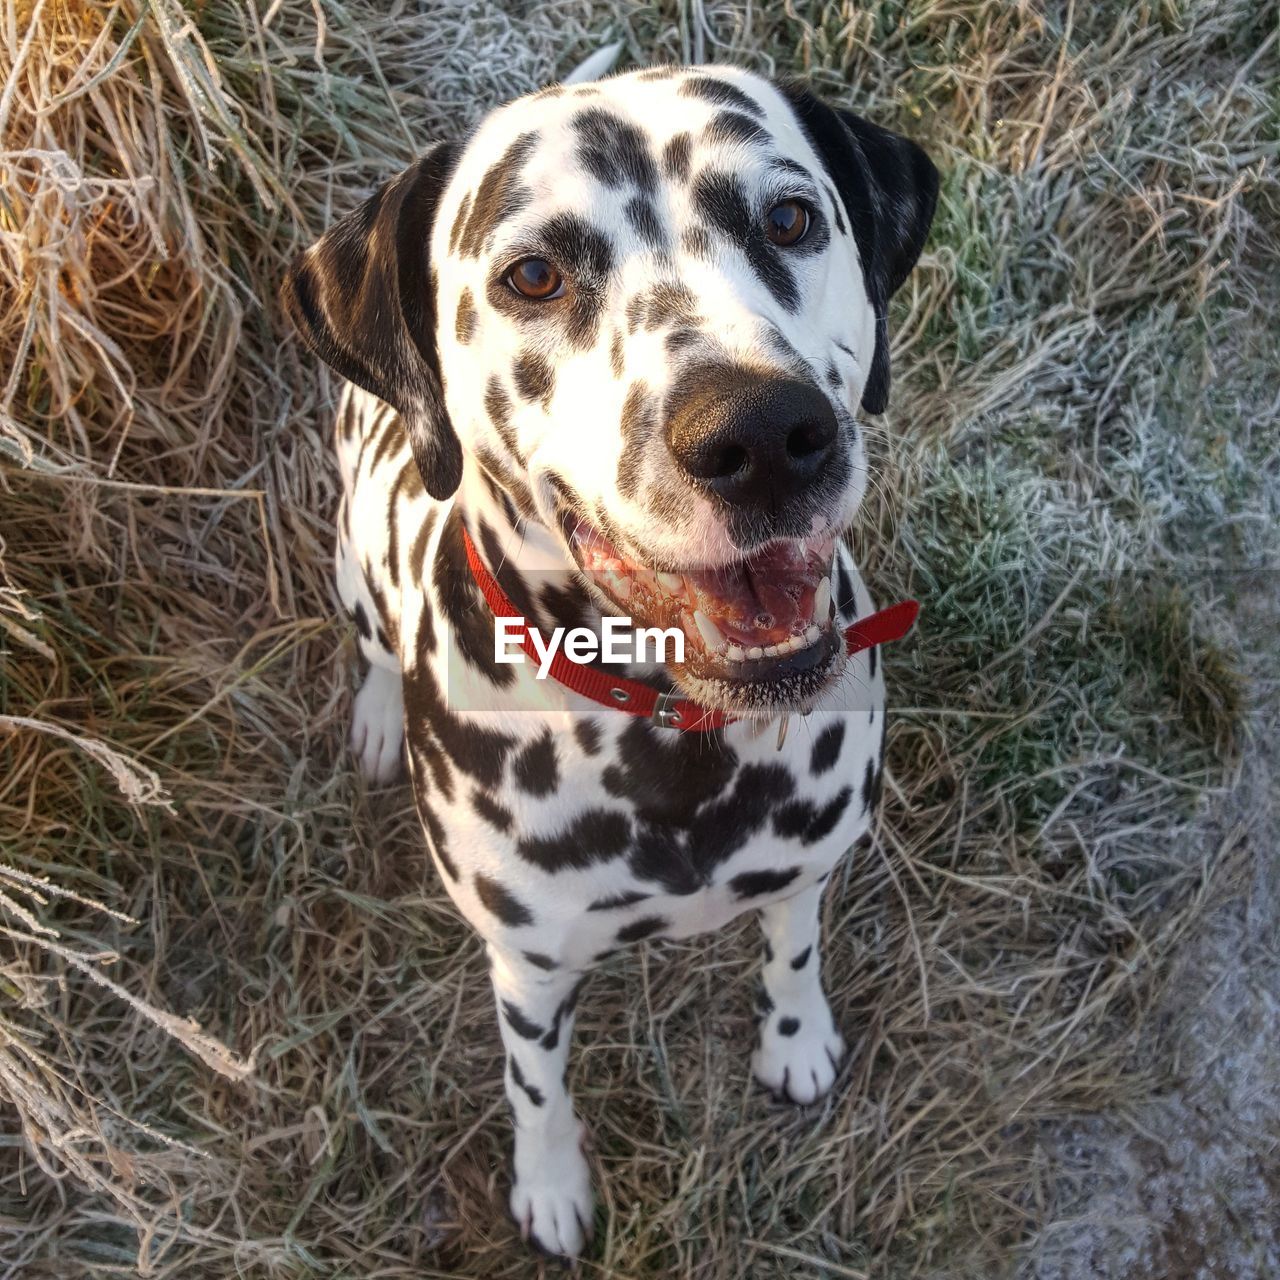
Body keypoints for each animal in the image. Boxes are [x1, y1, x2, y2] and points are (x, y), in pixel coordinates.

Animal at [285, 64, 936, 1254]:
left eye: (789, 218)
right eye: (532, 275)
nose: (763, 435)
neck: (671, 752)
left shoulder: (806, 873)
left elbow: (793, 954)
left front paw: (794, 1039)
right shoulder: (528, 969)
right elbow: (534, 1084)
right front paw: (549, 1184)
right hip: (351, 561)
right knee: (367, 640)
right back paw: (375, 715)